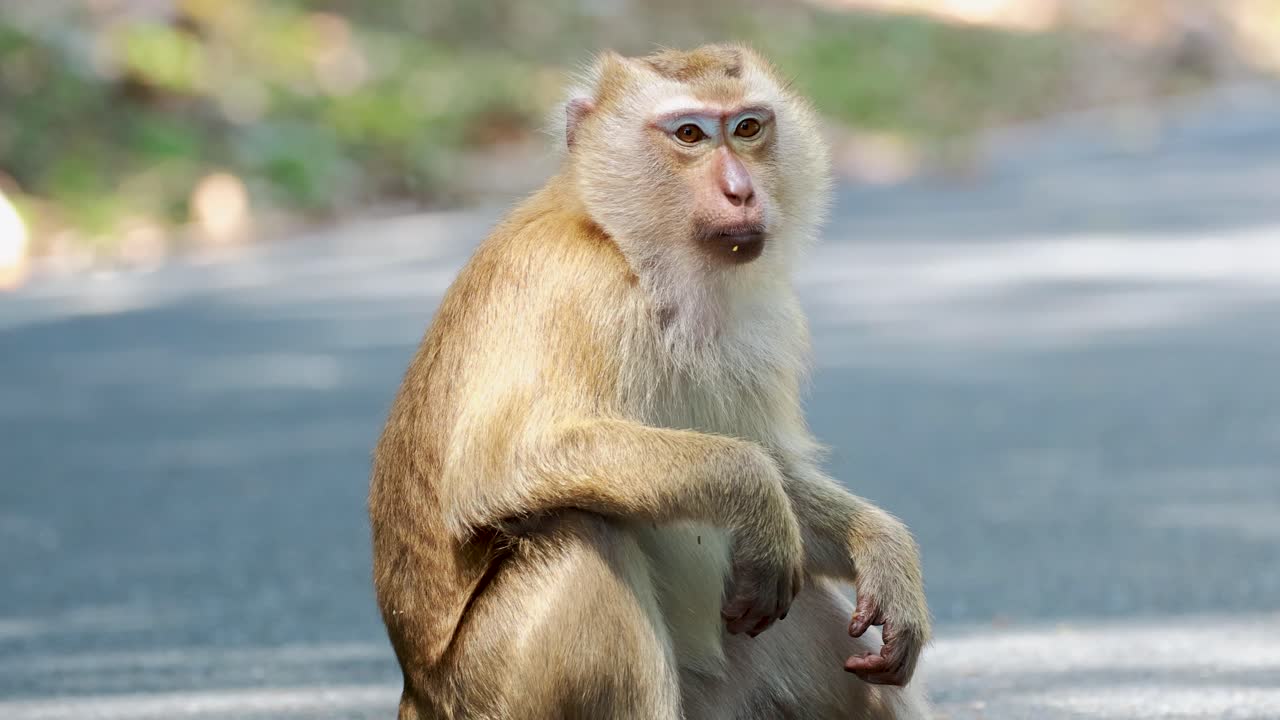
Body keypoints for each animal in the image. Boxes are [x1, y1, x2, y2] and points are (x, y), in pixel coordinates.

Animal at [369, 44, 932, 720]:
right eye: (689, 134)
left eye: (747, 127)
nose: (741, 191)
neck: (642, 260)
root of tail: (417, 693)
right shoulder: (573, 287)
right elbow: (500, 464)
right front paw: (752, 490)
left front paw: (881, 548)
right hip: (489, 692)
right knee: (580, 532)